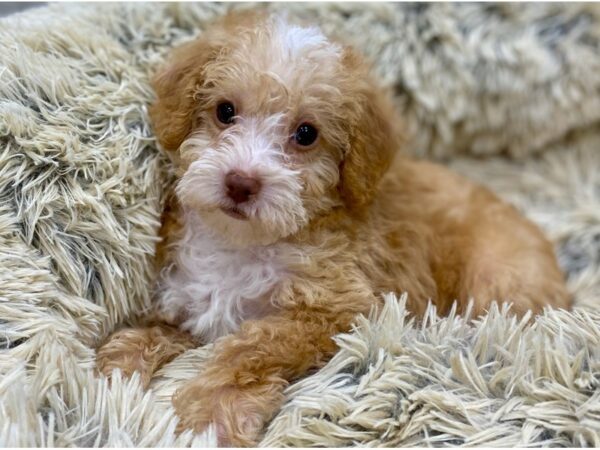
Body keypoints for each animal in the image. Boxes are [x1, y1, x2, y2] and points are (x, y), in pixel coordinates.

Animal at [96, 10, 568, 446]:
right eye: (224, 111)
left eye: (306, 134)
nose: (240, 182)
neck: (244, 243)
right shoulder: (190, 302)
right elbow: (162, 329)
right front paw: (119, 362)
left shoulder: (342, 309)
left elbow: (255, 344)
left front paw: (211, 412)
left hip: (497, 282)